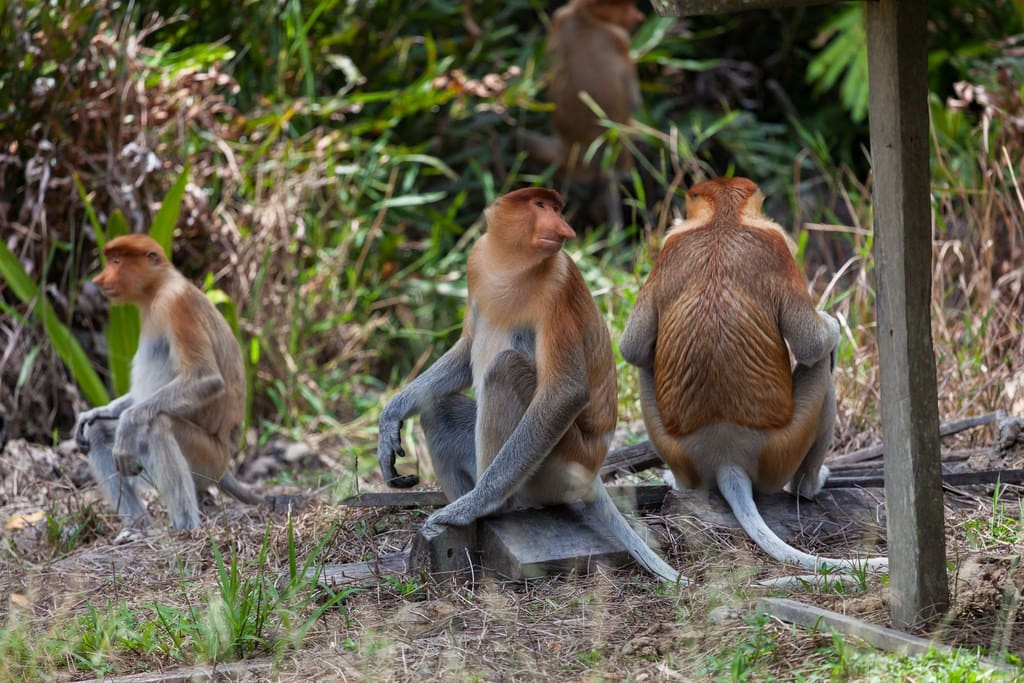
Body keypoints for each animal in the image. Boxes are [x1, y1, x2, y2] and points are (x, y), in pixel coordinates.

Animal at [376, 187, 688, 581]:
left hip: (555, 464)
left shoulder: (558, 285)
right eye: (541, 206)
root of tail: (591, 474)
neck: (511, 264)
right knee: (440, 409)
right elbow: (465, 349)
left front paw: (469, 507)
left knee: (505, 368)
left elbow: (565, 392)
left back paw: (493, 506)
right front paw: (390, 419)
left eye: (556, 209)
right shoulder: (477, 262)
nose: (564, 228)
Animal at [520, 0, 638, 228]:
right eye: (624, 7)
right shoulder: (618, 37)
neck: (585, 18)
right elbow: (634, 98)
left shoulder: (560, 18)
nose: (638, 17)